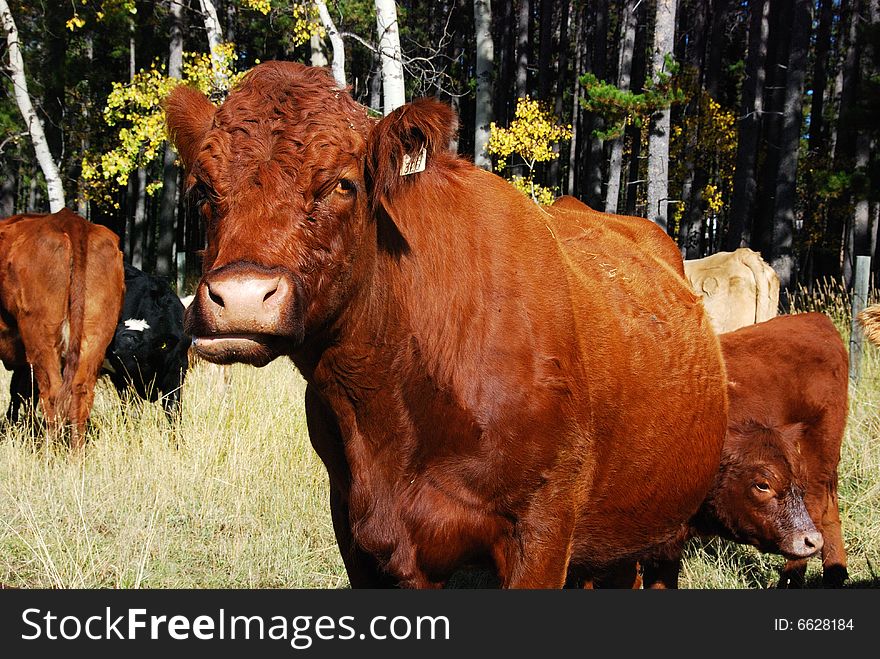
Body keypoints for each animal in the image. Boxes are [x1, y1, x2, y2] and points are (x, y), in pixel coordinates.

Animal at [0, 209, 125, 452]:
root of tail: (69, 220)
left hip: (41, 339)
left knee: (52, 394)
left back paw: (48, 453)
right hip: (94, 338)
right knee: (80, 393)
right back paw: (76, 455)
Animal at [167, 60, 728, 588]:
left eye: (343, 184)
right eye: (202, 190)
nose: (241, 297)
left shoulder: (544, 526)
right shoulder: (358, 529)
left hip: (664, 529)